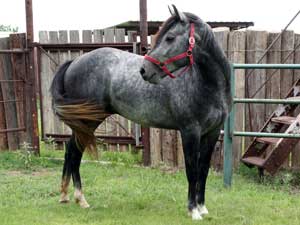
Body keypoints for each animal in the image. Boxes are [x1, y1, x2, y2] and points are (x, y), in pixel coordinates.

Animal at [50, 4, 231, 220]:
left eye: (170, 38)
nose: (144, 70)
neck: (206, 85)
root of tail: (75, 62)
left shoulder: (212, 133)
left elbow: (203, 170)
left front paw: (202, 208)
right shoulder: (190, 132)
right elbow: (191, 170)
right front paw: (193, 210)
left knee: (70, 150)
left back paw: (65, 195)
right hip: (88, 121)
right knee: (74, 152)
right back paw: (80, 198)